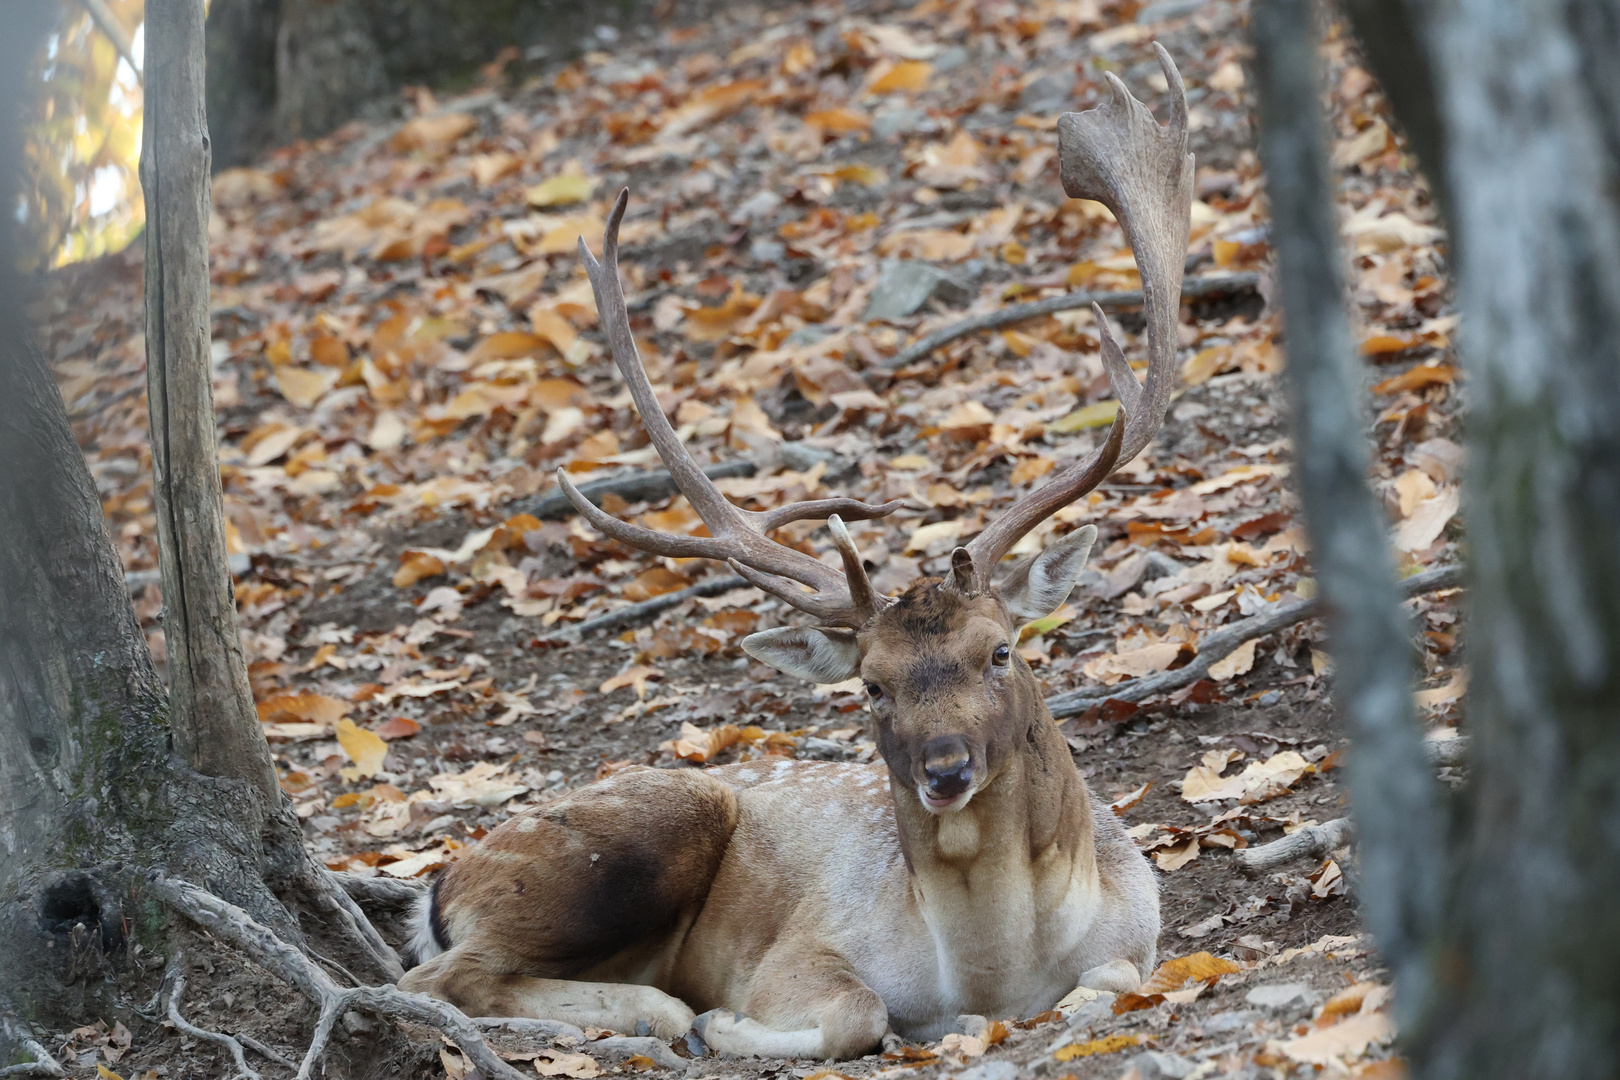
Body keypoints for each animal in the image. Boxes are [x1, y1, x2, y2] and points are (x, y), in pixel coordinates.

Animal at [398, 46, 1198, 1062]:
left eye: (1000, 650)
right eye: (870, 684)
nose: (945, 770)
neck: (1000, 970)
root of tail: (437, 884)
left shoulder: (1142, 930)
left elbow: (1108, 984)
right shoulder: (802, 951)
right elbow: (857, 1014)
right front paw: (733, 1021)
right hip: (631, 834)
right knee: (439, 977)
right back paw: (663, 1014)